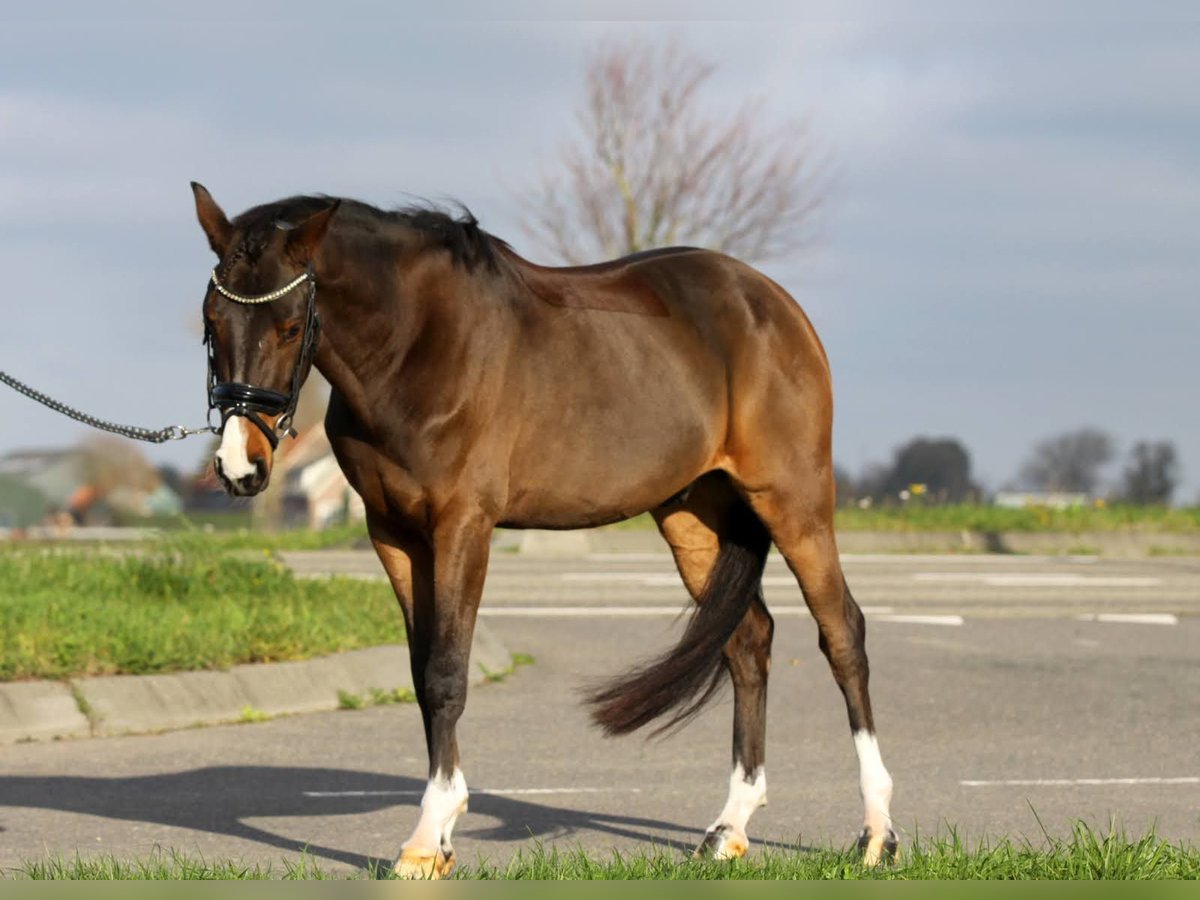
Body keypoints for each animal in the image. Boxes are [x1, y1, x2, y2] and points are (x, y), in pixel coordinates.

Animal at [192, 183, 897, 883]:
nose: (240, 465)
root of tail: (772, 303)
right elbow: (422, 676)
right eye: (210, 324)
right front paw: (440, 839)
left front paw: (424, 839)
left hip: (795, 502)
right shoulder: (392, 534)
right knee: (748, 641)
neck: (419, 346)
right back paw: (730, 829)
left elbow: (447, 673)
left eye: (290, 326)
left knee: (842, 634)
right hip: (694, 513)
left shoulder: (463, 525)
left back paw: (876, 834)